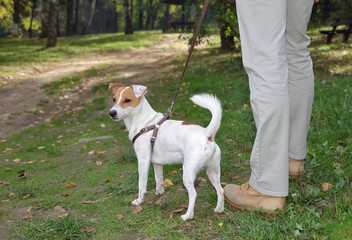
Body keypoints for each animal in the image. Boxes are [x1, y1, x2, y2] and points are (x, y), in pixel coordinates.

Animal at [107, 83, 224, 220]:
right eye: (114, 99)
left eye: (127, 100)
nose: (111, 113)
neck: (145, 122)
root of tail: (207, 134)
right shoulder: (157, 163)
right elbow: (159, 179)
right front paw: (159, 192)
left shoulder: (143, 161)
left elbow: (142, 184)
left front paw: (139, 200)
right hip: (212, 171)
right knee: (220, 190)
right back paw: (219, 209)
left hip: (188, 172)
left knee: (193, 193)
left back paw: (187, 216)